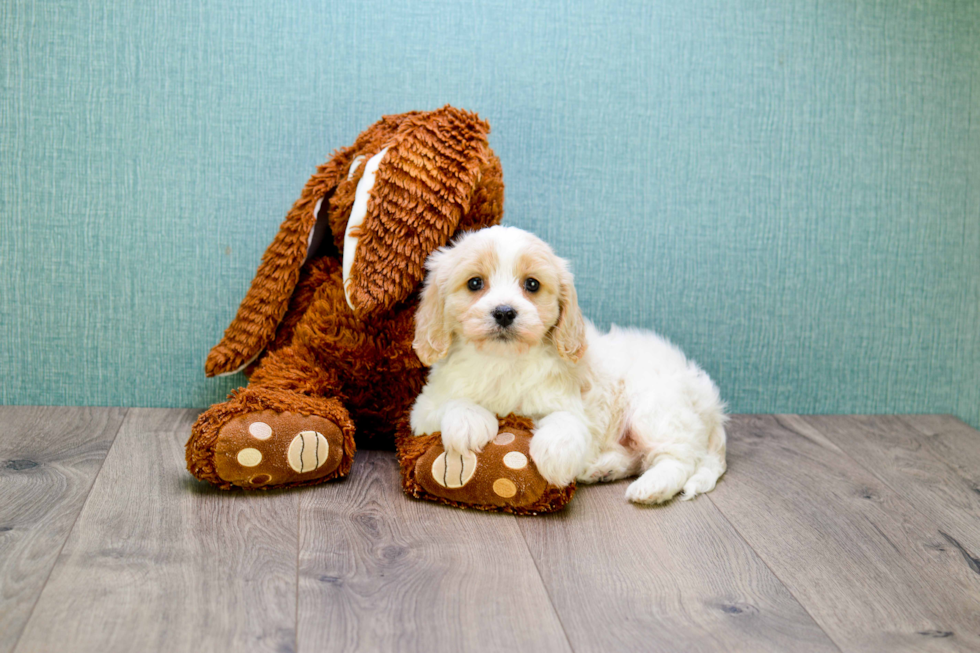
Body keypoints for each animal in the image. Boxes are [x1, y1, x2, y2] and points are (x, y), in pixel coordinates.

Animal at [408, 225, 728, 504]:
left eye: (532, 284)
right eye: (475, 283)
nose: (504, 312)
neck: (504, 360)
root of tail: (710, 401)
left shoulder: (568, 404)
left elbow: (564, 422)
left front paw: (555, 457)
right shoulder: (422, 410)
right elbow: (452, 404)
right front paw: (469, 423)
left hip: (654, 410)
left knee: (681, 457)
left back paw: (652, 486)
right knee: (639, 457)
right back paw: (602, 469)